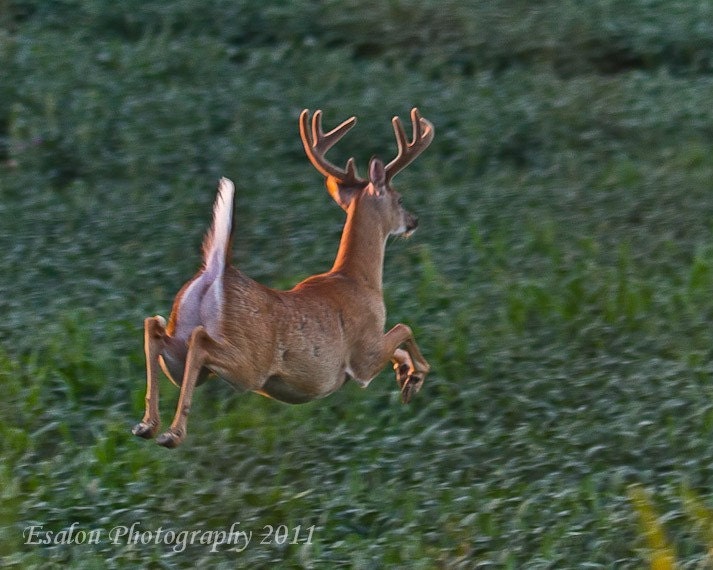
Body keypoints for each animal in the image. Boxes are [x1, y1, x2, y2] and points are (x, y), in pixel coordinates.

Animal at [134, 105, 434, 444]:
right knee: (200, 341)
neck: (359, 280)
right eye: (400, 199)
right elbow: (404, 328)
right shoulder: (363, 356)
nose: (413, 221)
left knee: (154, 327)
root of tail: (216, 270)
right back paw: (172, 433)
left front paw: (406, 374)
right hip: (248, 364)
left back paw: (147, 425)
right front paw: (415, 377)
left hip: (179, 351)